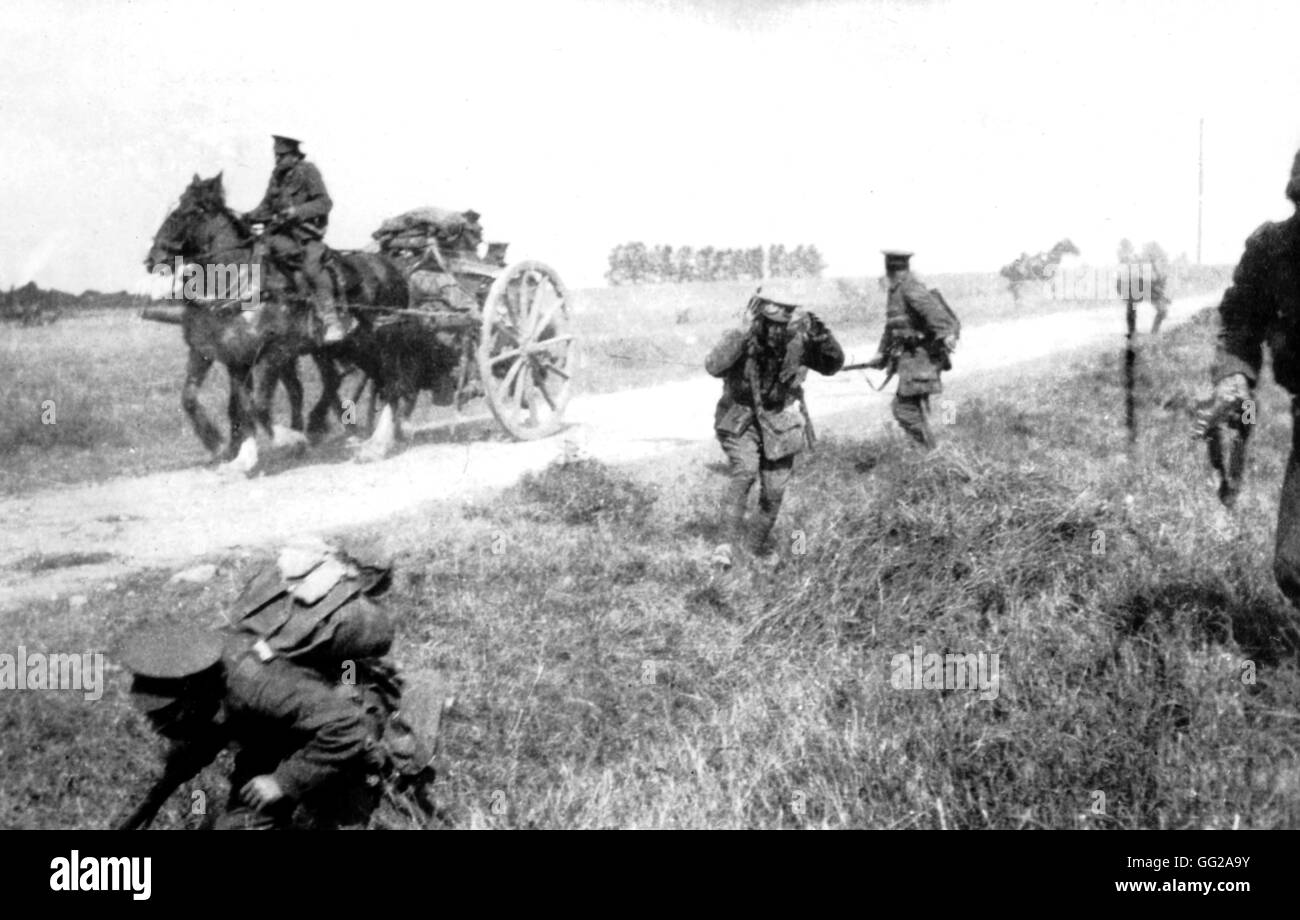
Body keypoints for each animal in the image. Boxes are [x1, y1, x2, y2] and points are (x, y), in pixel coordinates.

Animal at [146, 175, 460, 470]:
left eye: (185, 213)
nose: (152, 259)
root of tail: (393, 269)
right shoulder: (231, 355)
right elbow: (230, 405)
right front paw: (234, 454)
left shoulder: (273, 352)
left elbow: (259, 405)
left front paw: (289, 441)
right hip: (354, 347)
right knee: (366, 383)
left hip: (384, 341)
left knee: (393, 385)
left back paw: (374, 444)